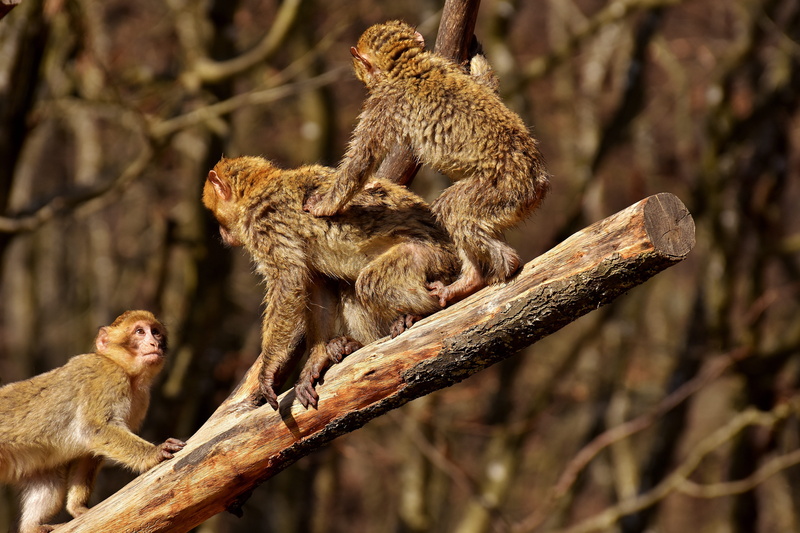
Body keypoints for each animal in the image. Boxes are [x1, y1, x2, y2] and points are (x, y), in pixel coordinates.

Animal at [0, 310, 186, 533]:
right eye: (140, 331)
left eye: (156, 332)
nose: (154, 343)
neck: (126, 372)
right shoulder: (107, 378)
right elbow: (94, 429)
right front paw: (154, 453)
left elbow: (88, 453)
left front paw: (77, 507)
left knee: (50, 482)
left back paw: (33, 526)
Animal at [202, 155, 459, 410]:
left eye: (217, 218)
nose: (221, 233)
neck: (257, 189)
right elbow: (318, 285)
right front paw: (316, 359)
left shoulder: (263, 225)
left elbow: (288, 282)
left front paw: (268, 369)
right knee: (349, 287)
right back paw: (356, 344)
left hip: (434, 260)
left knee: (370, 283)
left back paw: (421, 312)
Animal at [304, 20, 550, 306]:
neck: (408, 64)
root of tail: (538, 179)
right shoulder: (443, 63)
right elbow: (487, 86)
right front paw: (475, 51)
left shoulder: (383, 103)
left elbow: (361, 161)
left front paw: (324, 205)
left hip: (504, 188)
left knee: (451, 208)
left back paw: (490, 271)